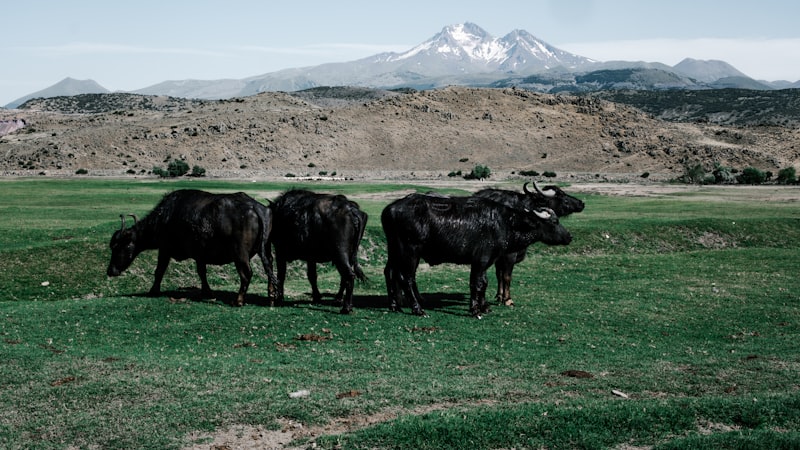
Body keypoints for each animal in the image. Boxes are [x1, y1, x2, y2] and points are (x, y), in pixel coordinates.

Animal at [107, 190, 276, 306]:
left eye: (118, 246)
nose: (110, 271)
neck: (165, 218)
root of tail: (254, 207)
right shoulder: (200, 255)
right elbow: (202, 272)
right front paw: (207, 292)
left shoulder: (165, 249)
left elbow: (159, 270)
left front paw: (153, 291)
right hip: (266, 249)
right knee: (270, 268)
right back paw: (271, 296)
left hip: (240, 254)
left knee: (246, 273)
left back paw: (239, 300)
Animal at [384, 192, 572, 316]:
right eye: (554, 222)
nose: (569, 236)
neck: (505, 223)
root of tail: (390, 209)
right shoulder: (480, 261)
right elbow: (478, 283)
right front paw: (475, 309)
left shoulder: (488, 262)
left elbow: (485, 282)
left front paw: (485, 306)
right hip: (409, 252)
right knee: (406, 277)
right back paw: (417, 308)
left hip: (394, 251)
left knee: (390, 273)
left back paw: (394, 305)